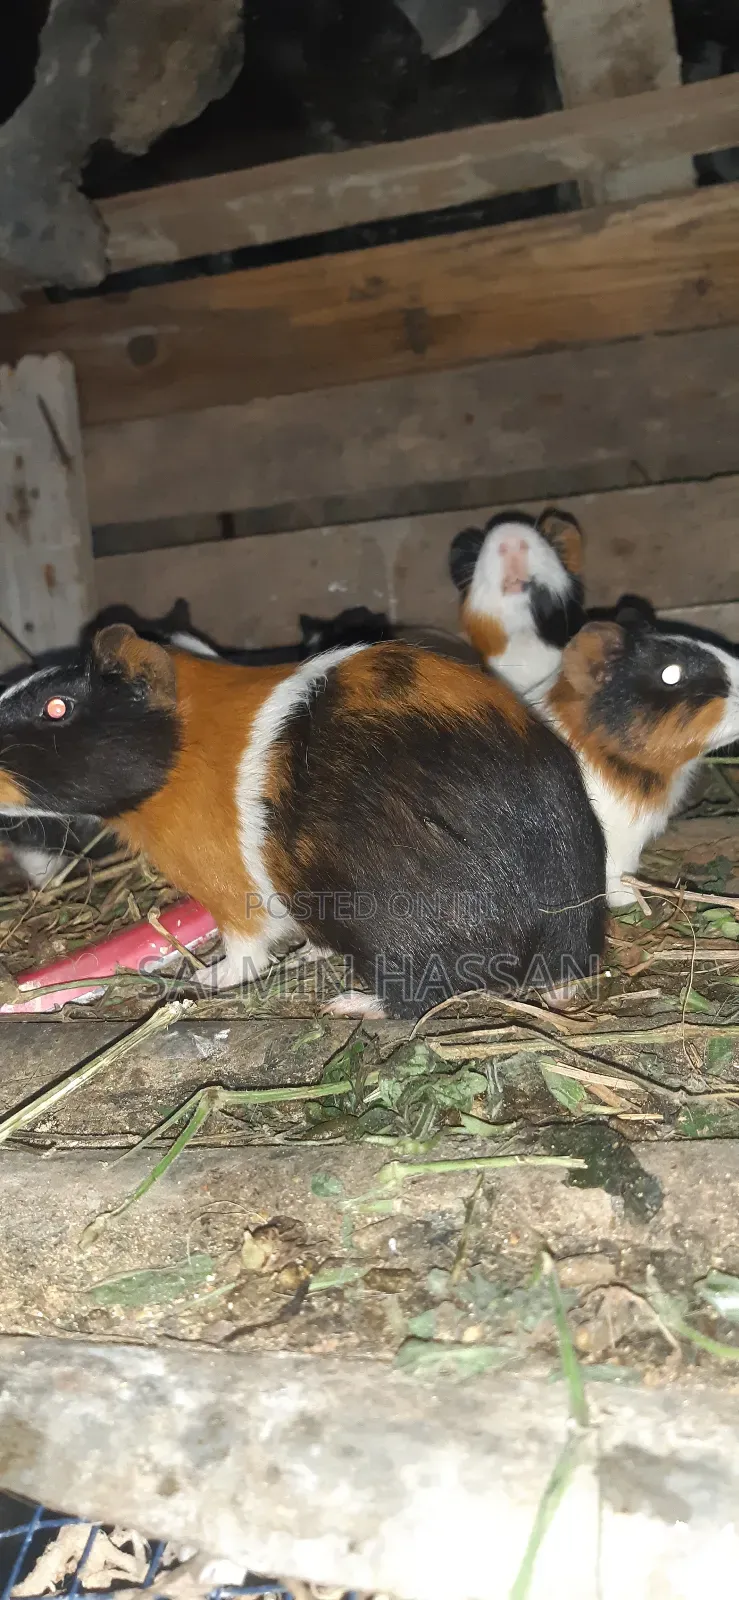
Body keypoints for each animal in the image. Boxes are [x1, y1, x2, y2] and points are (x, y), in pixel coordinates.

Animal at [0, 626, 606, 1018]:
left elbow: (244, 955)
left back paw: (348, 1005)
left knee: (419, 993)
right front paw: (306, 953)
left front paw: (200, 979)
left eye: (57, 707)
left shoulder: (233, 901)